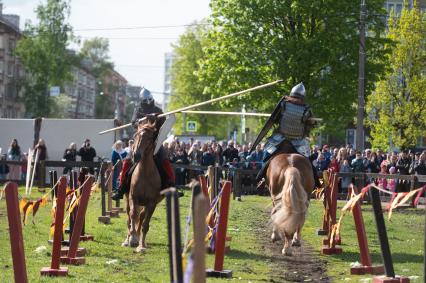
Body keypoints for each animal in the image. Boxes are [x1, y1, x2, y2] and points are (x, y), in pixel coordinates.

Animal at [123, 121, 165, 253]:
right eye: (136, 135)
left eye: (150, 138)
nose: (136, 155)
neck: (145, 173)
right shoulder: (133, 197)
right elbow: (132, 215)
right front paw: (132, 239)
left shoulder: (152, 203)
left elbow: (145, 224)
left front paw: (141, 245)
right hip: (128, 199)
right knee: (129, 216)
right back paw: (128, 239)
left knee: (141, 217)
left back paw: (141, 240)